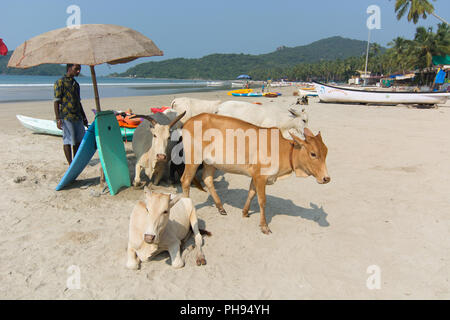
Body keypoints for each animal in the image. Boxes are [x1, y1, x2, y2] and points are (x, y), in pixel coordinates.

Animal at [179, 114, 330, 234]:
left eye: (326, 152)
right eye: (313, 154)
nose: (326, 178)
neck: (283, 150)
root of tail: (189, 121)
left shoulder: (255, 176)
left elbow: (251, 193)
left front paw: (245, 212)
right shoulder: (260, 177)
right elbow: (262, 201)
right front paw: (264, 226)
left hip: (210, 163)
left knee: (207, 180)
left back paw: (221, 207)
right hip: (193, 159)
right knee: (185, 180)